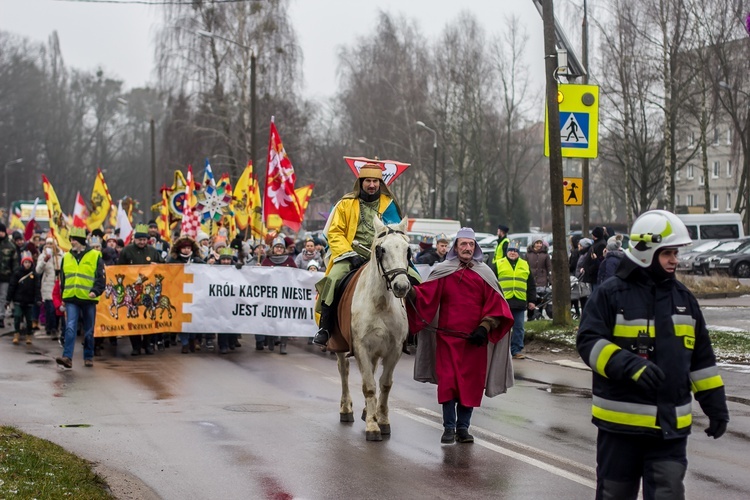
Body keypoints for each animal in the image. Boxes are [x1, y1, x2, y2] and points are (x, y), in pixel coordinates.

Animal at [340, 217, 414, 440]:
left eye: (408, 250)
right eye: (382, 250)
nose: (401, 286)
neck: (380, 303)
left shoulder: (394, 349)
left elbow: (385, 384)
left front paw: (382, 420)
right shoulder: (361, 348)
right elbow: (369, 386)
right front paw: (373, 427)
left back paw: (366, 411)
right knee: (344, 370)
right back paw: (346, 409)